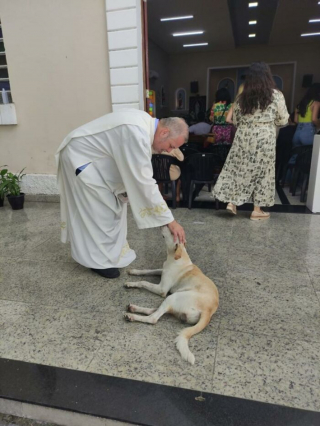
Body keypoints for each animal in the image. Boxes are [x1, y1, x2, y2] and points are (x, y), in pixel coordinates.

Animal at [124, 225, 219, 364]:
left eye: (172, 232)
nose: (163, 225)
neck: (176, 256)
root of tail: (208, 311)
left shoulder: (162, 289)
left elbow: (144, 282)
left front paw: (131, 283)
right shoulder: (161, 270)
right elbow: (147, 271)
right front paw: (134, 271)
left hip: (172, 297)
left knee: (153, 318)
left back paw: (132, 316)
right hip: (174, 301)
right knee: (155, 311)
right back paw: (134, 308)